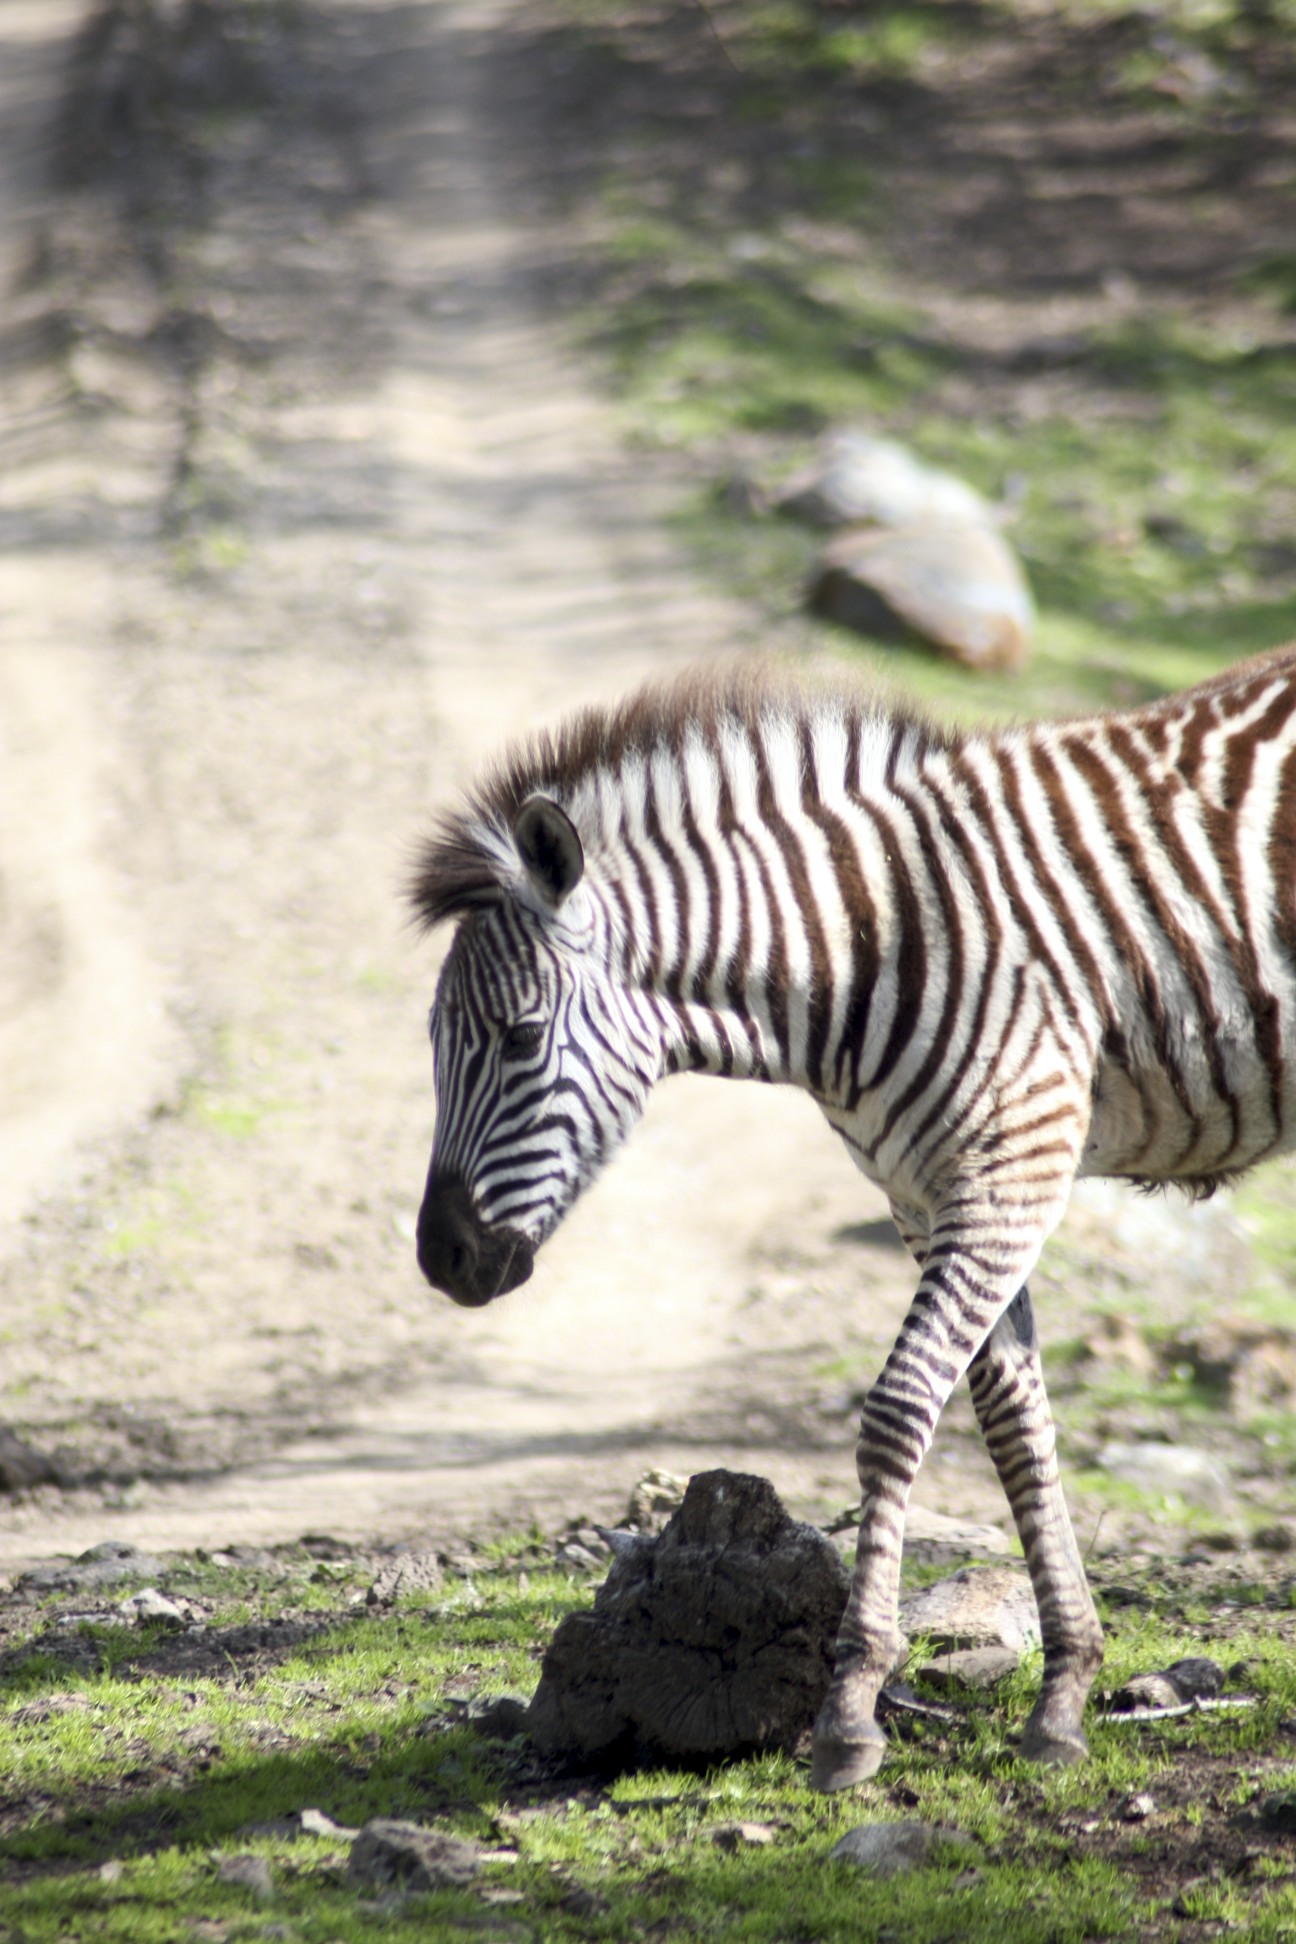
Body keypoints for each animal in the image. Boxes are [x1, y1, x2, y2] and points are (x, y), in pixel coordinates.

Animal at [408, 645, 1296, 1780]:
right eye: (437, 1046)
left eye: (520, 1038)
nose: (442, 1257)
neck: (866, 944)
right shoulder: (929, 1195)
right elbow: (1015, 1425)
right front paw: (1062, 1697)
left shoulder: (1014, 1171)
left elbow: (896, 1412)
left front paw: (851, 1706)